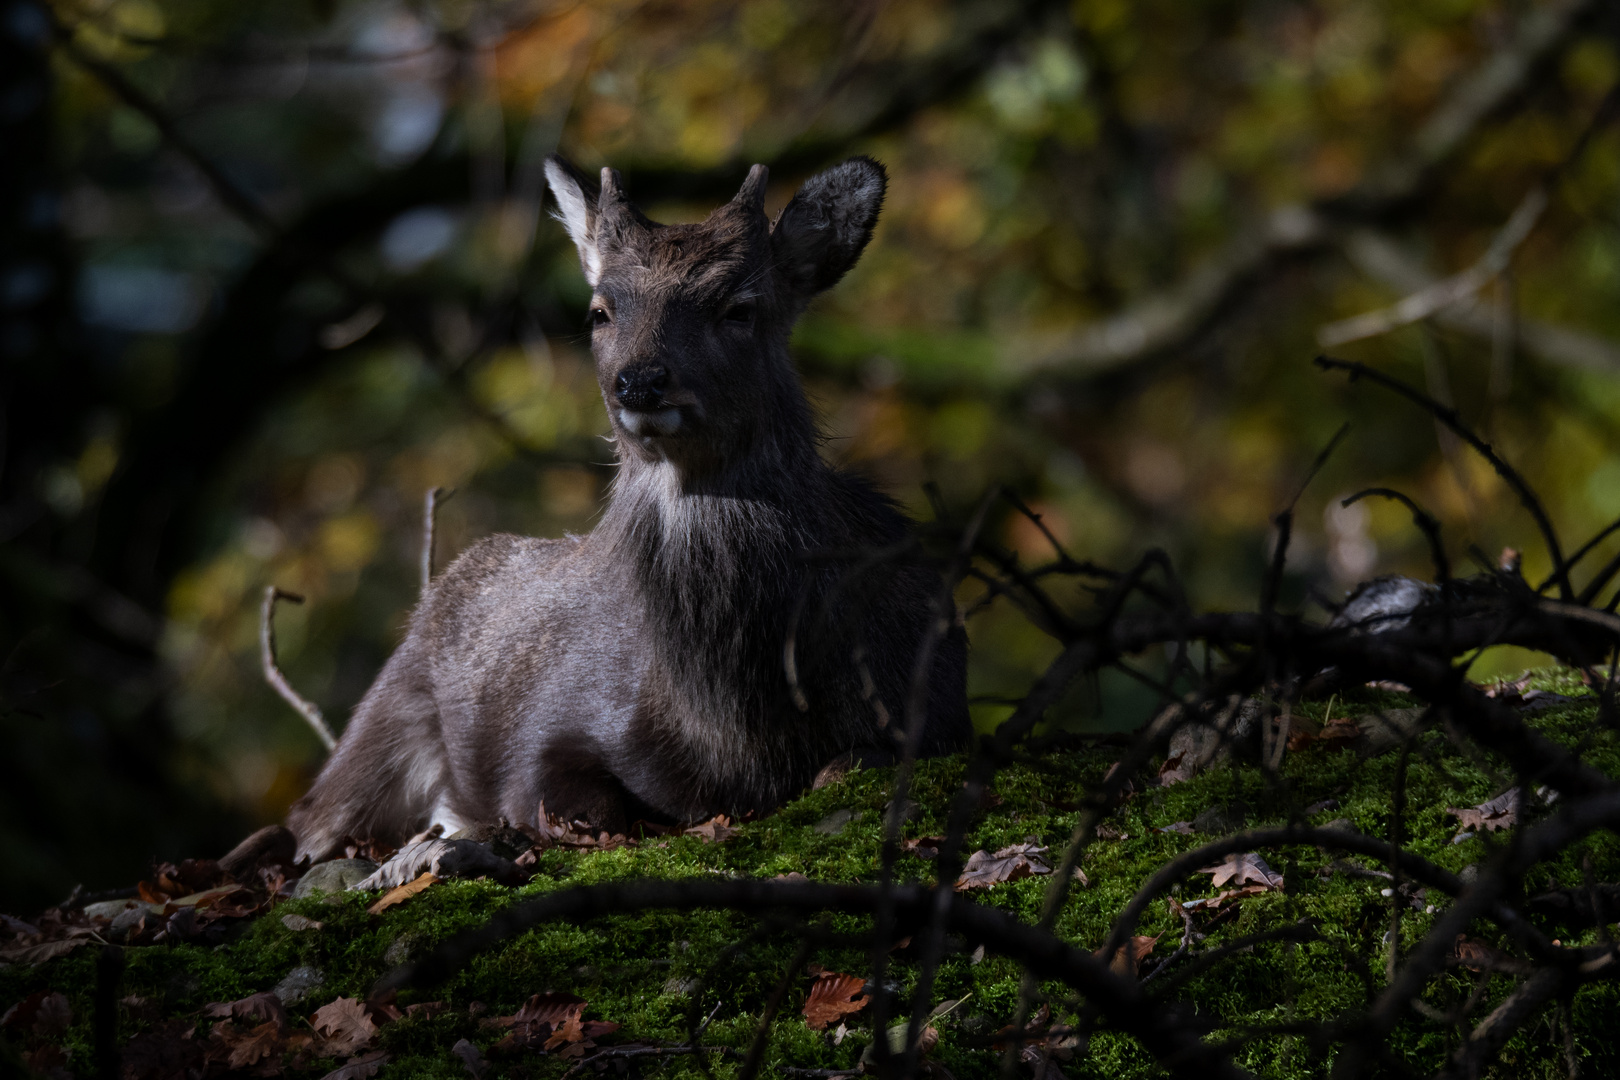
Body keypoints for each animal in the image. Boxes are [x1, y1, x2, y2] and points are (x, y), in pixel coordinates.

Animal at [285, 156, 965, 861]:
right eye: (599, 313)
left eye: (740, 308)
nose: (641, 380)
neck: (738, 730)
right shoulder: (551, 727)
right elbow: (568, 795)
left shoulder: (933, 703)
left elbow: (847, 766)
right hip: (385, 715)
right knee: (307, 820)